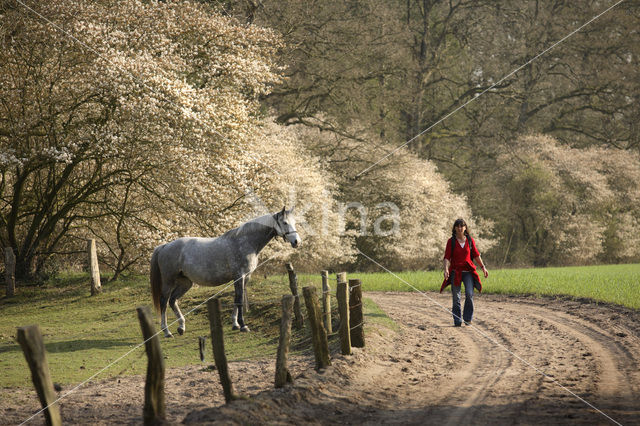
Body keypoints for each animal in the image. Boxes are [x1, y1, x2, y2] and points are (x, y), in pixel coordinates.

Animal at [151, 208, 302, 338]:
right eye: (285, 222)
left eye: (294, 222)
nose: (297, 242)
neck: (245, 242)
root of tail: (164, 246)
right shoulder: (239, 276)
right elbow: (239, 300)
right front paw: (243, 326)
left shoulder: (245, 277)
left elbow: (237, 299)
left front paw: (235, 324)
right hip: (169, 281)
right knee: (164, 301)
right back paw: (166, 331)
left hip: (185, 283)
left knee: (173, 300)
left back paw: (181, 327)